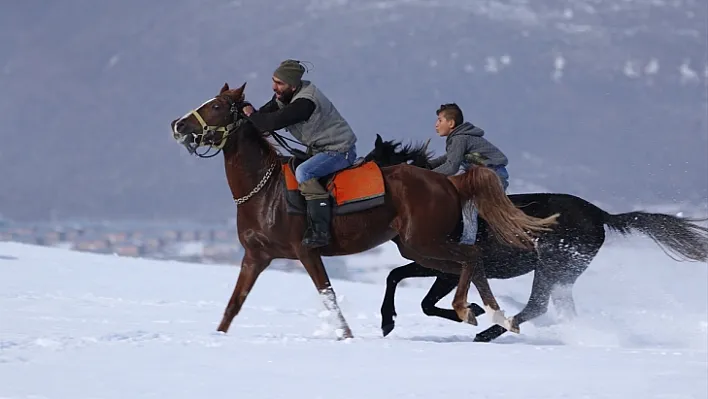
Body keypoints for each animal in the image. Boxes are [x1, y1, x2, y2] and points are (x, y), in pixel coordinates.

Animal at [170, 82, 560, 340]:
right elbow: (234, 303)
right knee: (466, 265)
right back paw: (491, 314)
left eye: (217, 105)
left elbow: (328, 296)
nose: (178, 125)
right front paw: (218, 336)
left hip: (425, 243)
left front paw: (347, 337)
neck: (265, 191)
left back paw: (471, 310)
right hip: (418, 248)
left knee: (471, 256)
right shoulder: (256, 256)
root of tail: (451, 182)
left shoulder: (306, 251)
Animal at [368, 136, 708, 342]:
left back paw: (491, 332)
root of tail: (601, 215)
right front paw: (387, 323)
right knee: (560, 309)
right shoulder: (431, 264)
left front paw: (474, 312)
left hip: (550, 266)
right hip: (564, 274)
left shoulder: (447, 269)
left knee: (536, 306)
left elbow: (424, 300)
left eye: (376, 164)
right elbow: (396, 276)